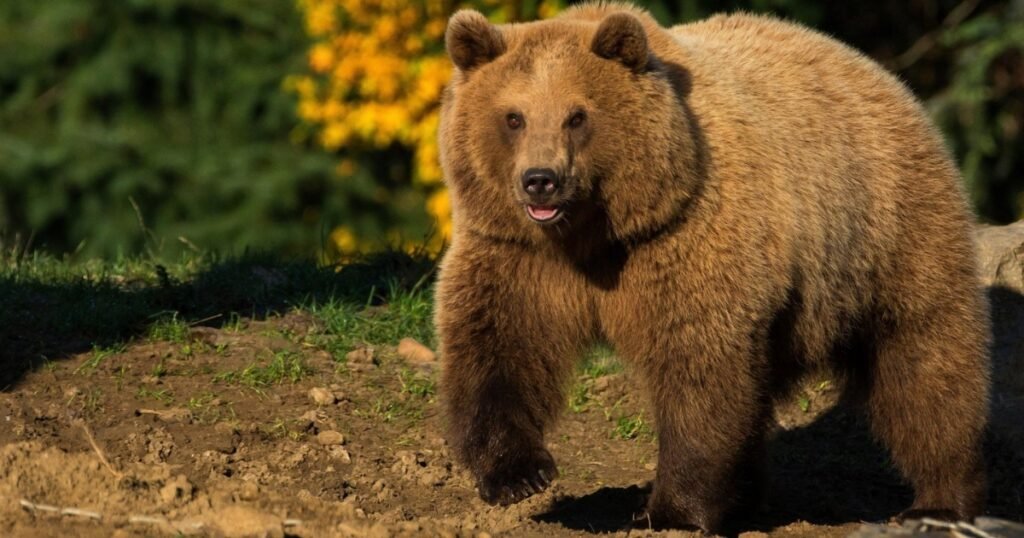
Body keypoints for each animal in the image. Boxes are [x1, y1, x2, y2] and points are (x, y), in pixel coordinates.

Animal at [433, 2, 991, 533]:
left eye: (577, 115)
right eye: (513, 117)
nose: (540, 180)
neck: (595, 233)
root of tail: (877, 72)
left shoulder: (683, 239)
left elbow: (699, 363)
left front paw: (668, 510)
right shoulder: (518, 253)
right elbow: (499, 346)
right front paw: (518, 475)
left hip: (889, 235)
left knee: (925, 366)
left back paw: (941, 501)